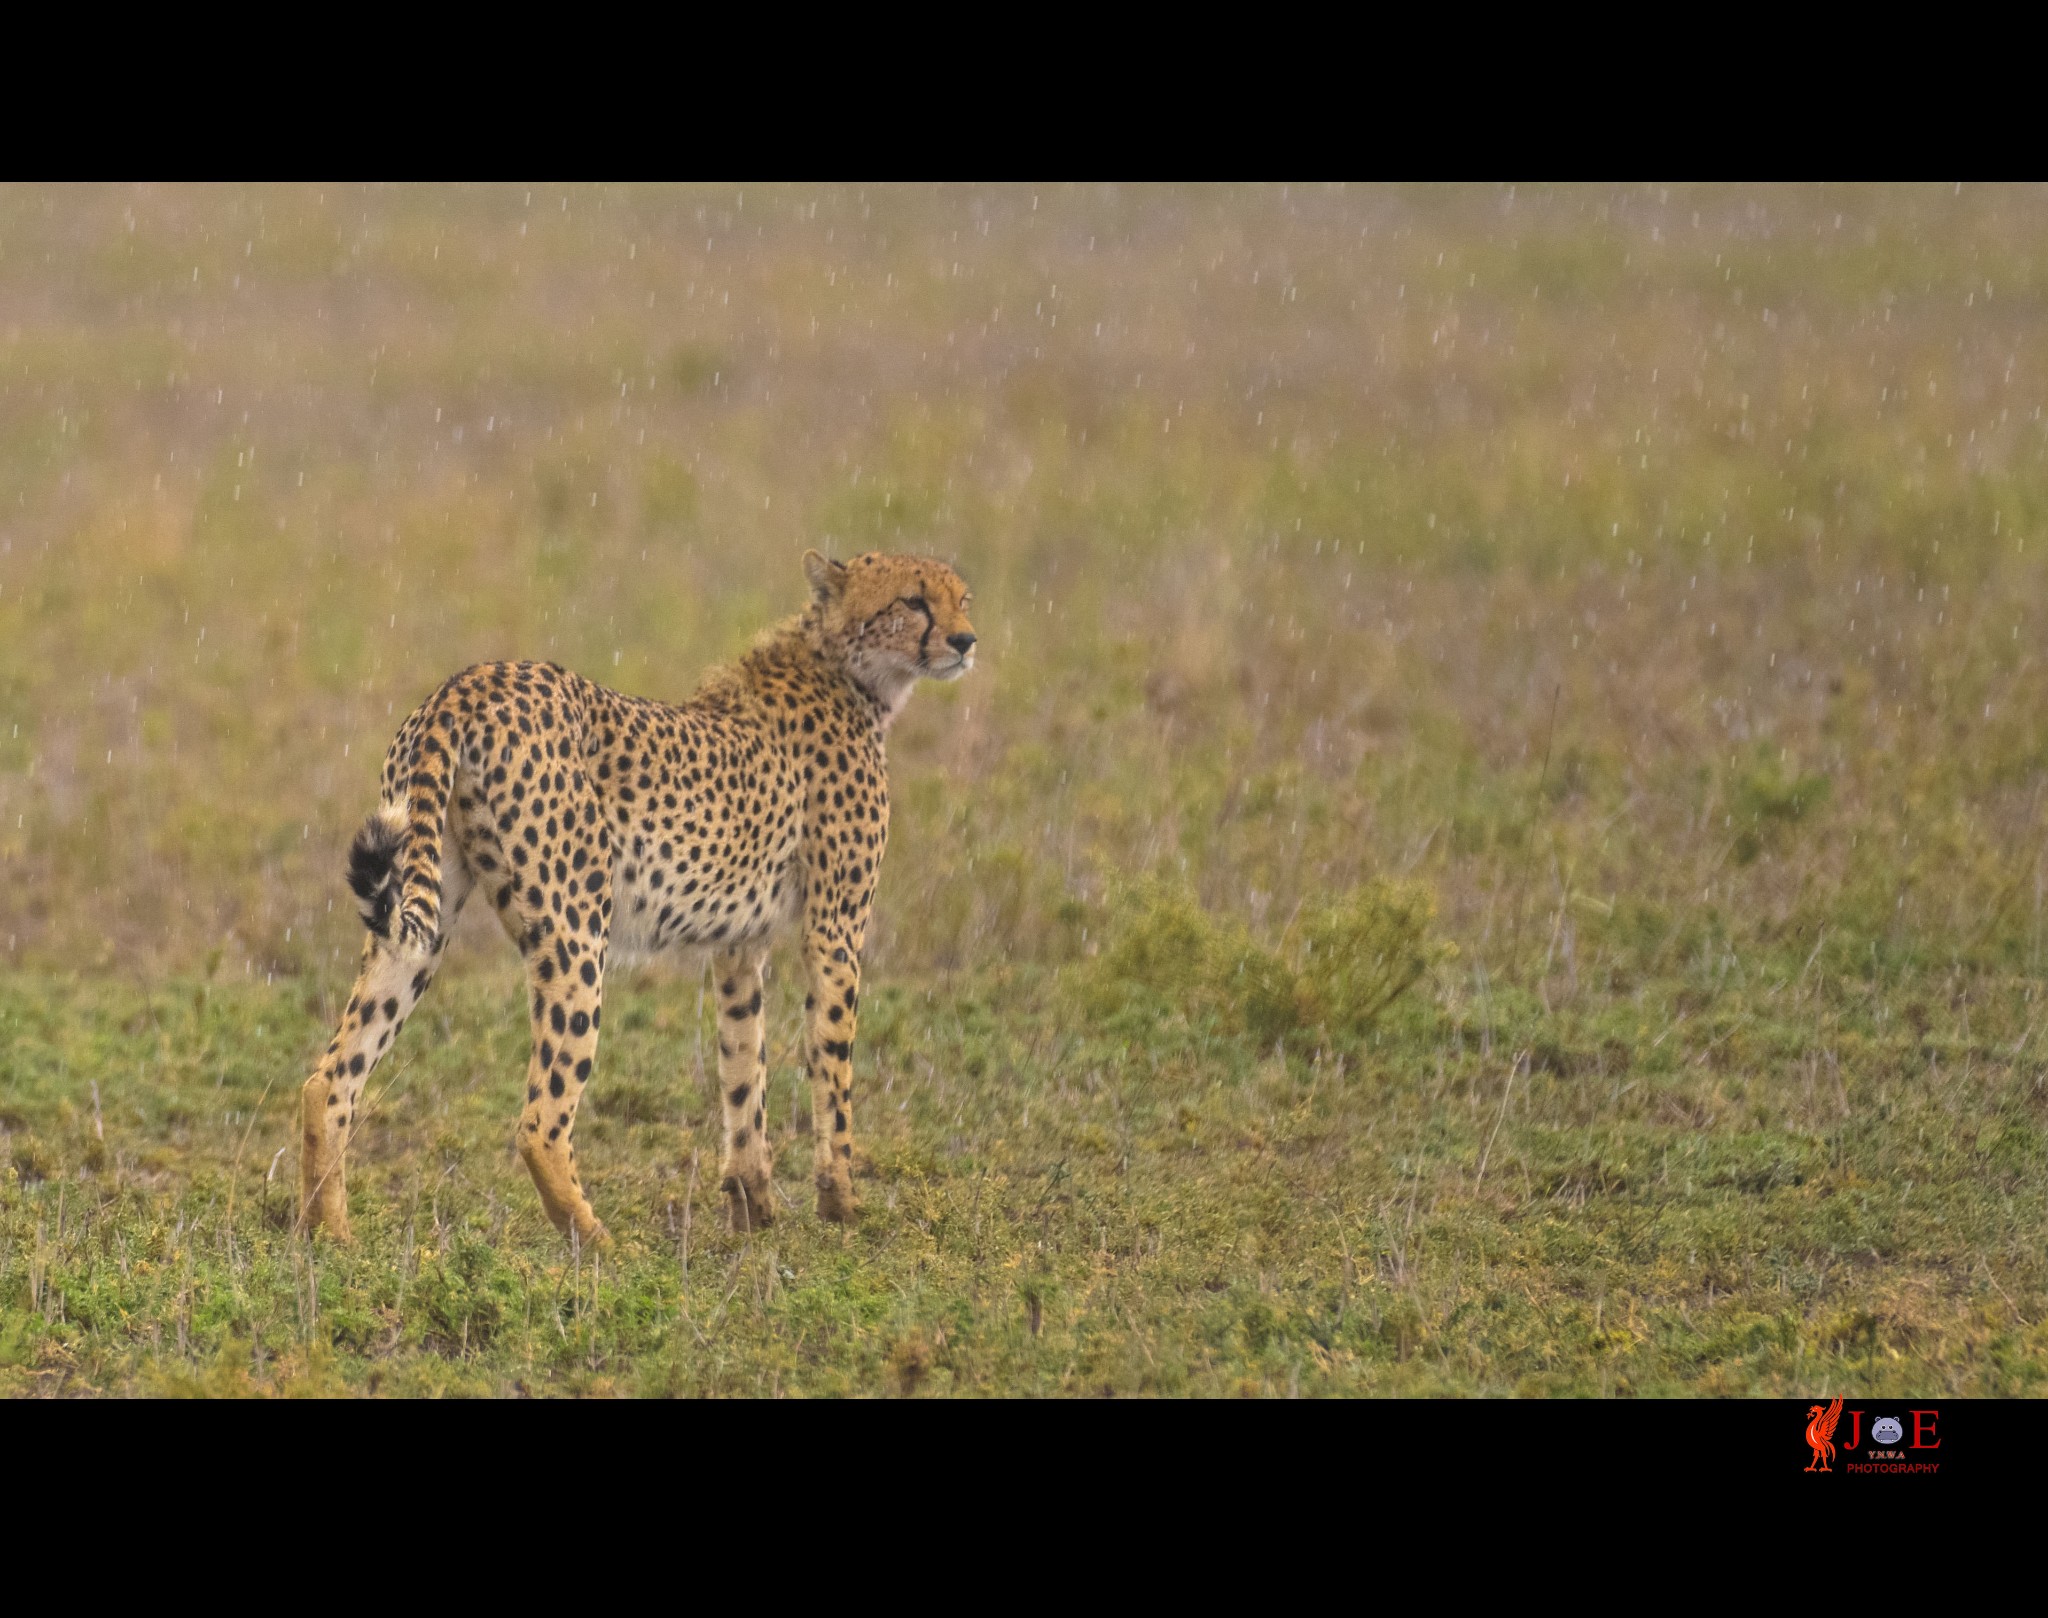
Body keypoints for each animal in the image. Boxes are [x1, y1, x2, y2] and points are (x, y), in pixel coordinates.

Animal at [299, 552, 978, 1245]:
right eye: (913, 600)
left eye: (963, 598)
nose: (965, 641)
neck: (846, 667)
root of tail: (468, 682)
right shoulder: (836, 928)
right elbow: (832, 1067)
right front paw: (842, 1209)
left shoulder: (740, 946)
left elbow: (744, 1070)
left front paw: (755, 1211)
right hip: (575, 929)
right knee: (539, 1121)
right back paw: (601, 1244)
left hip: (423, 914)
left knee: (330, 1080)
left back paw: (331, 1239)